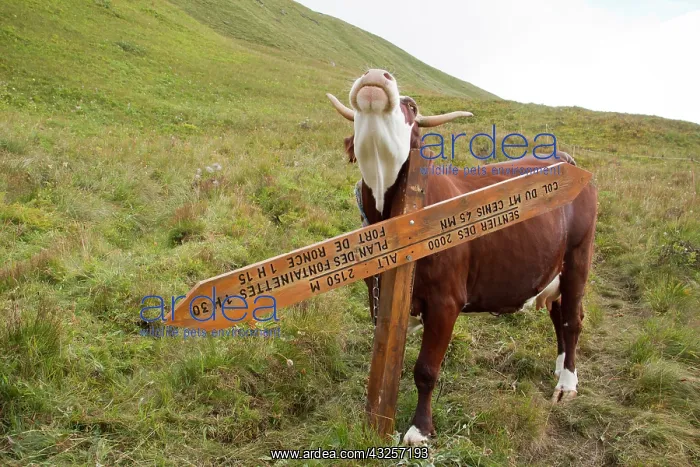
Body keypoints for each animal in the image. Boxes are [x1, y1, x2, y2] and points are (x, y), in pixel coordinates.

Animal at [326, 69, 598, 445]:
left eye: (412, 106)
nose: (375, 75)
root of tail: (564, 158)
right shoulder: (381, 293)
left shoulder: (446, 301)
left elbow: (426, 369)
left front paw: (419, 430)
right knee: (558, 314)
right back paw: (560, 368)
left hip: (578, 258)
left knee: (572, 318)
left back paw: (567, 384)